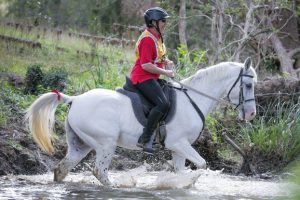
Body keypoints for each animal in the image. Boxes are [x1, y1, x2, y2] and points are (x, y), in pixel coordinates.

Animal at [25, 57, 258, 186]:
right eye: (248, 85)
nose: (252, 114)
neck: (193, 99)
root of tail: (75, 99)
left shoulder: (178, 148)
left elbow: (181, 171)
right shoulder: (178, 143)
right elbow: (201, 164)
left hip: (80, 145)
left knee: (62, 169)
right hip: (105, 144)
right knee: (100, 172)